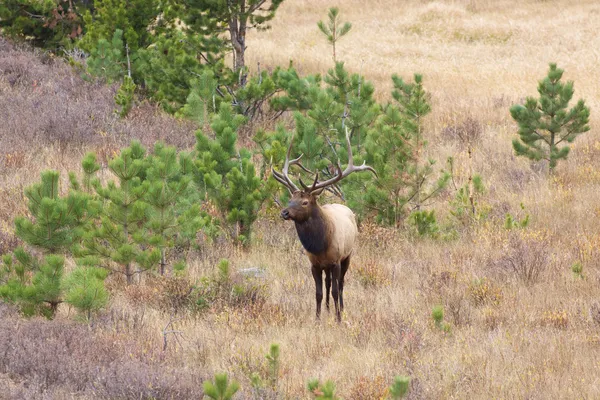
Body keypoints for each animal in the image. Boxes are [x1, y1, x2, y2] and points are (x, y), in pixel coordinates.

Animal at [270, 129, 376, 322]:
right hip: (327, 266)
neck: (320, 244)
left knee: (340, 285)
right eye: (290, 199)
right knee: (327, 283)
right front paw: (318, 318)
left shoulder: (336, 261)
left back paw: (340, 308)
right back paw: (327, 309)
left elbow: (335, 290)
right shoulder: (315, 264)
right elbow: (318, 293)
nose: (284, 212)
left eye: (305, 202)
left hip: (348, 255)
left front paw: (338, 318)